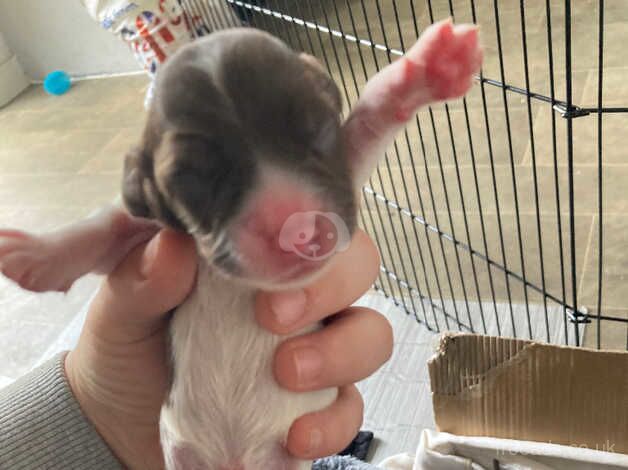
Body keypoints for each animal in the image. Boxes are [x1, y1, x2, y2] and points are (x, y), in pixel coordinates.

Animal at [0, 21, 484, 470]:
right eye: (192, 179)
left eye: (317, 127)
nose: (296, 230)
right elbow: (106, 225)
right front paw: (36, 254)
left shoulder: (346, 176)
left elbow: (367, 124)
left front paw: (424, 71)